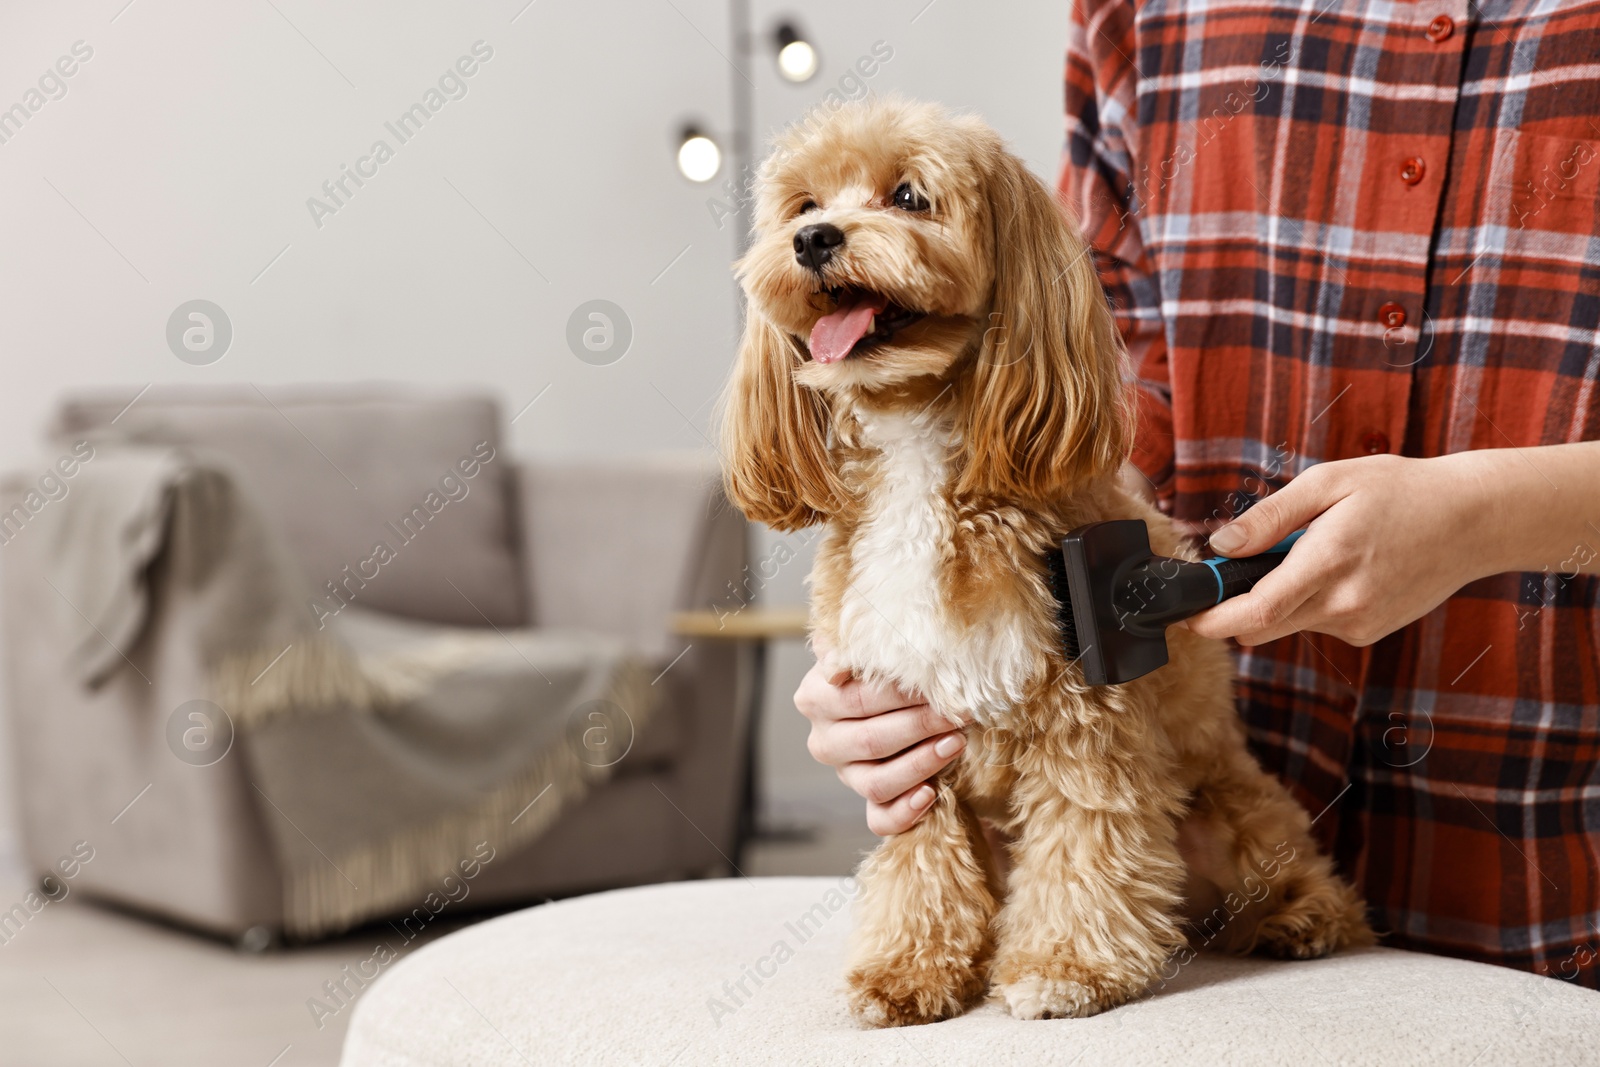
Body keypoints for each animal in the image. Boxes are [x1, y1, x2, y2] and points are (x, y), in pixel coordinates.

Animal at [720, 97, 1369, 1023]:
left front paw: (1066, 966)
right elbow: (918, 858)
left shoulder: (1085, 718)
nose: (814, 240)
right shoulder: (906, 739)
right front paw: (907, 970)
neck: (920, 454)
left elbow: (1083, 840)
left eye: (908, 195)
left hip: (1234, 811)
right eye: (803, 206)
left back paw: (1302, 918)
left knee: (1292, 878)